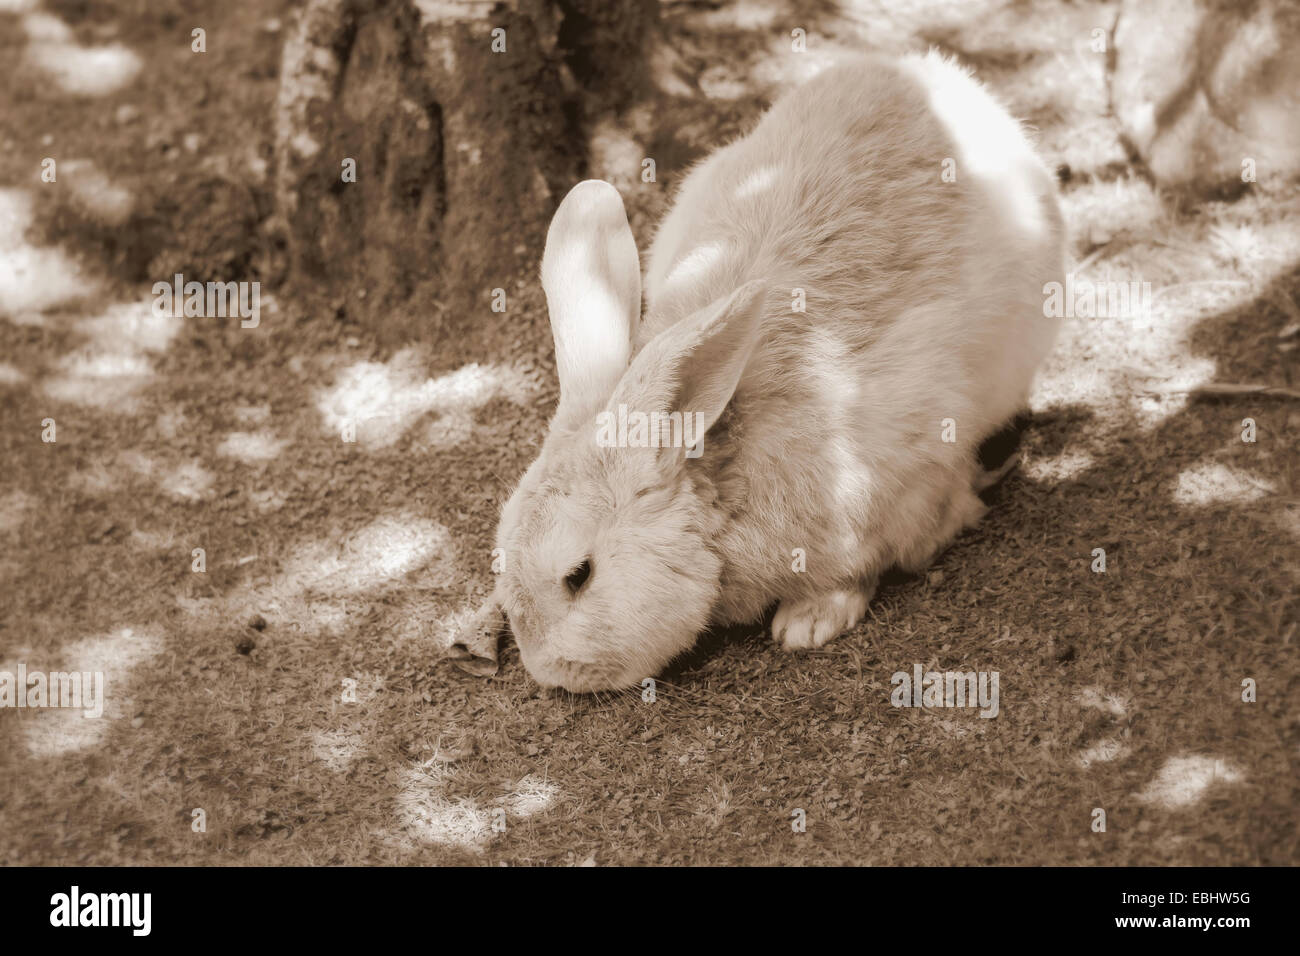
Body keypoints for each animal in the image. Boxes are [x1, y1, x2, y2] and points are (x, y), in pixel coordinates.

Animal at [480, 52, 1065, 692]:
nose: (544, 669)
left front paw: (808, 623)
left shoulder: (909, 483)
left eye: (579, 574)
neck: (720, 472)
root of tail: (922, 71)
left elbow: (870, 563)